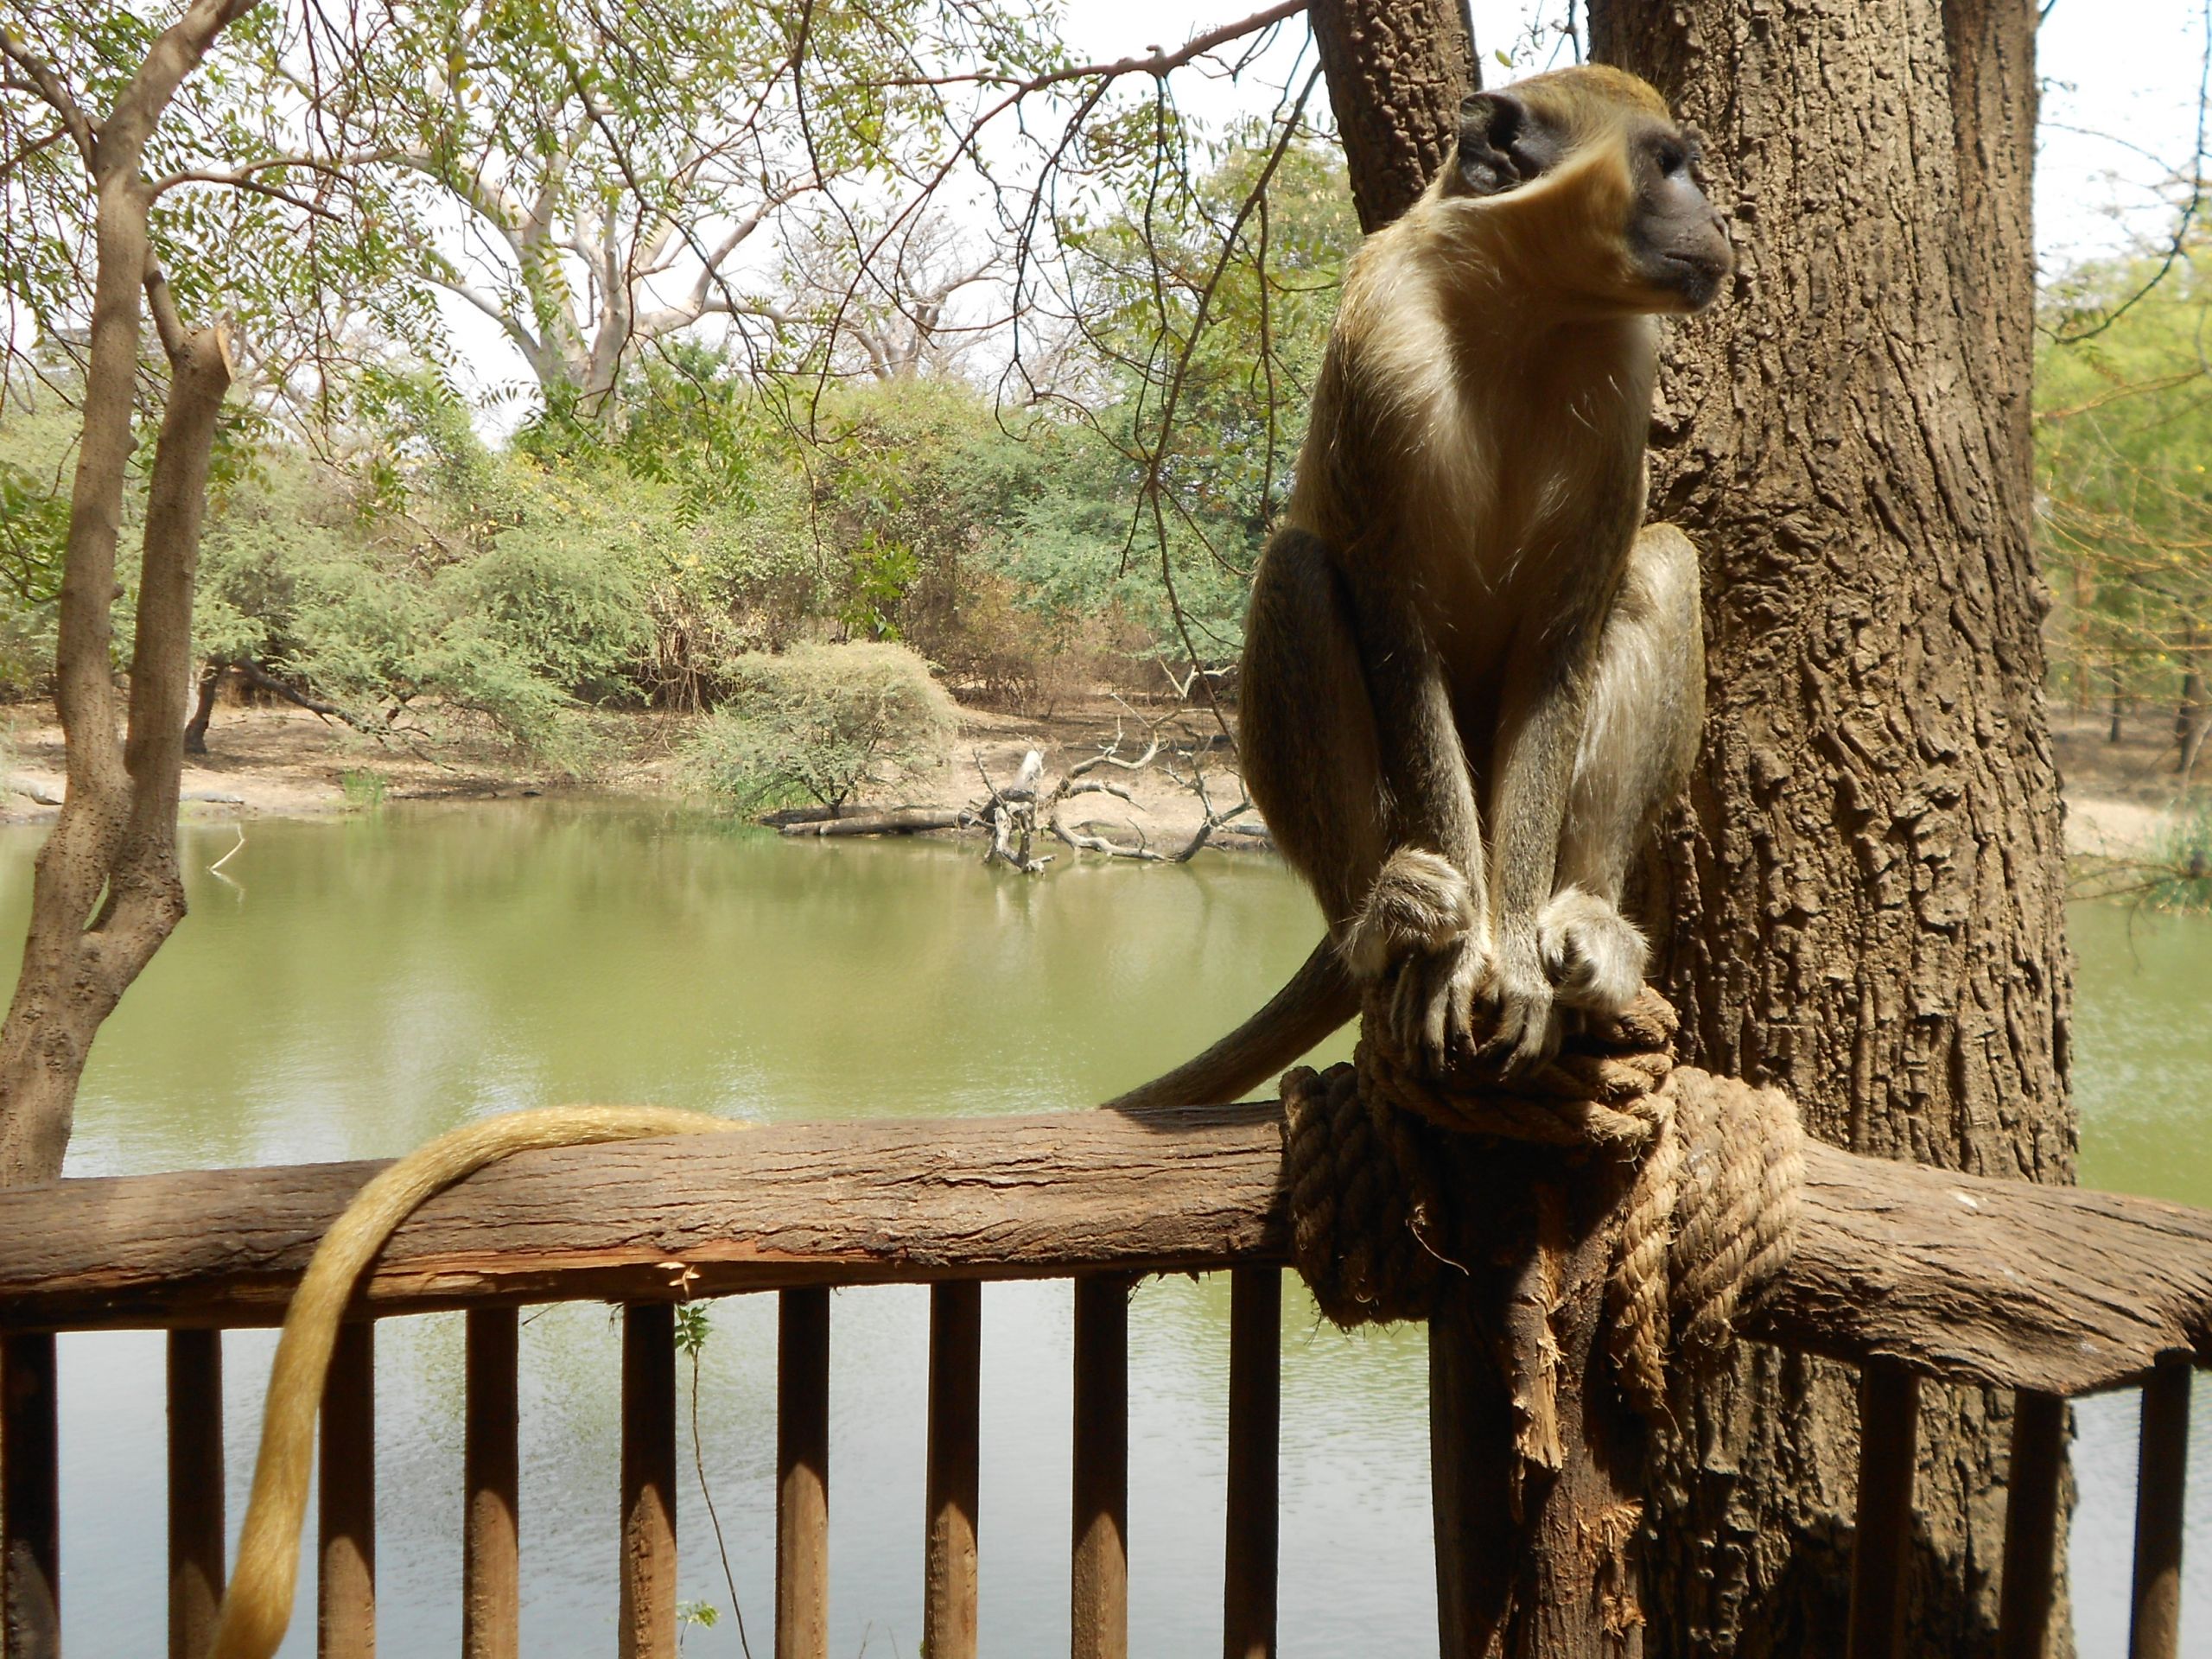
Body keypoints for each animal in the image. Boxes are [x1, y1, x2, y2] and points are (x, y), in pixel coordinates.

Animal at [1106, 65, 1725, 1110]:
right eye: (1665, 165)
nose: (1714, 215)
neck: (1526, 306)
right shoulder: (1382, 345)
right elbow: (1396, 628)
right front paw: (1457, 962)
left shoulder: (1623, 368)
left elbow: (1559, 651)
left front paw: (1515, 964)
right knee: (1298, 574)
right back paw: (1383, 924)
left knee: (1662, 561)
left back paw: (1589, 926)